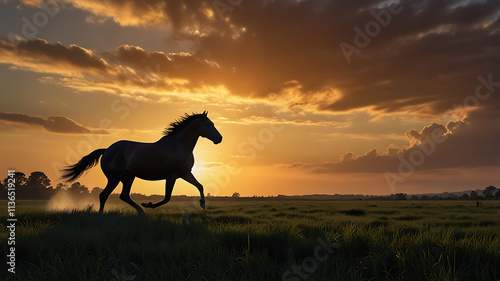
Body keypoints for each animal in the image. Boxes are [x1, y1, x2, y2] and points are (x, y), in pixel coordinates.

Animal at [59, 110, 222, 213]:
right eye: (208, 124)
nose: (219, 138)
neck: (178, 146)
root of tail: (107, 150)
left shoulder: (184, 173)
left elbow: (200, 186)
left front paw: (202, 204)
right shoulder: (172, 176)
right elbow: (167, 198)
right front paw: (148, 204)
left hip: (128, 177)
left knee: (122, 196)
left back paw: (141, 212)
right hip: (115, 178)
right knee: (104, 195)